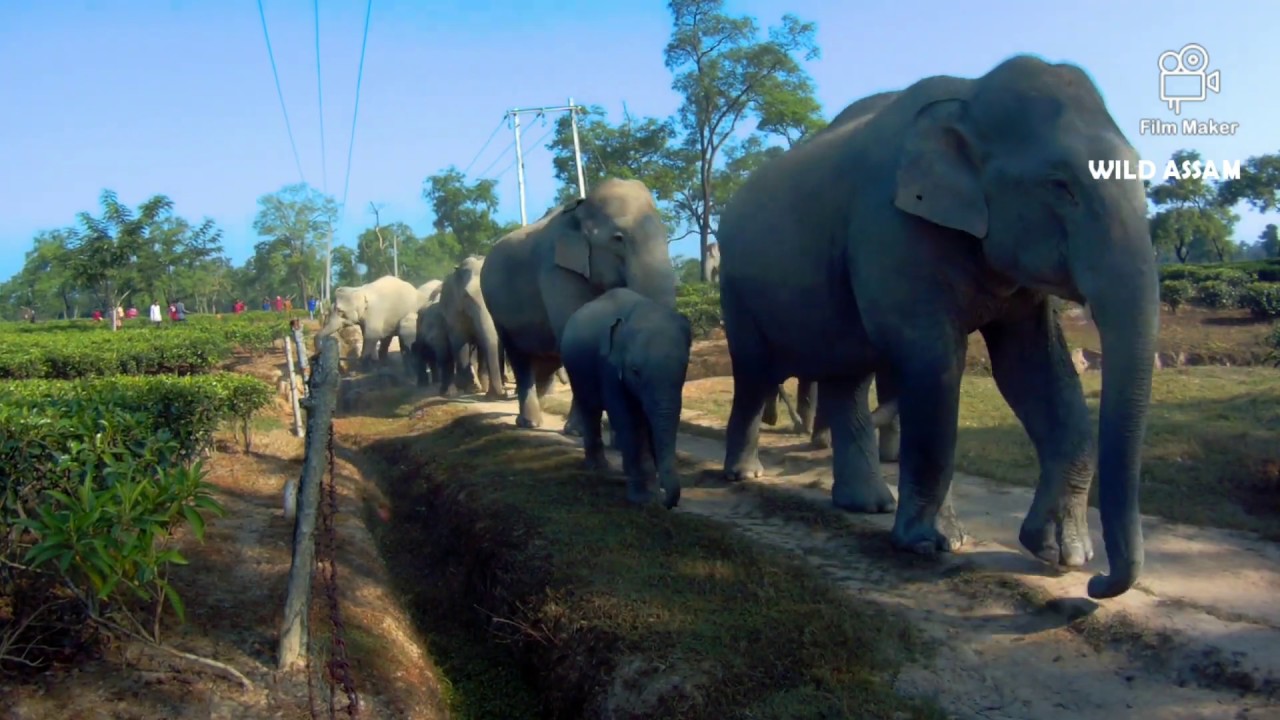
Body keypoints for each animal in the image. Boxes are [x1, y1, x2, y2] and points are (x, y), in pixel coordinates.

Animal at [480, 178, 677, 433]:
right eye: (618, 239)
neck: (580, 213)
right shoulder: (556, 271)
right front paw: (577, 431)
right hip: (498, 314)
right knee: (520, 358)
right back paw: (528, 423)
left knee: (545, 360)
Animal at [560, 287, 693, 509]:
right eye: (635, 371)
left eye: (684, 368)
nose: (667, 502)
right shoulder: (608, 367)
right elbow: (628, 420)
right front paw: (644, 499)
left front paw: (654, 490)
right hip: (576, 371)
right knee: (591, 410)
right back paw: (598, 468)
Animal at [715, 55, 1158, 600]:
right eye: (1061, 186)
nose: (1098, 584)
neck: (970, 96)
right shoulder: (893, 229)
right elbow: (936, 364)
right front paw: (933, 544)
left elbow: (1033, 368)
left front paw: (1061, 553)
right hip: (736, 288)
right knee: (756, 373)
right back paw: (745, 476)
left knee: (846, 376)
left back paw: (866, 504)